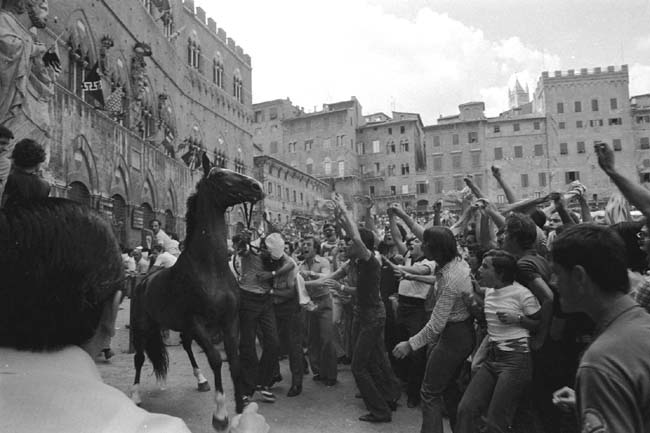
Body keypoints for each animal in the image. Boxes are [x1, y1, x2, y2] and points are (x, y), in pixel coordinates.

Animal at [130, 154, 262, 430]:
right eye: (219, 175)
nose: (257, 186)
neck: (209, 269)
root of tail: (143, 280)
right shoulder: (198, 321)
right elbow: (215, 359)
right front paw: (220, 415)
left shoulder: (229, 320)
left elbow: (233, 359)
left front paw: (241, 404)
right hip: (142, 324)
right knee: (139, 357)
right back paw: (135, 395)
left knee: (186, 346)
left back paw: (201, 380)